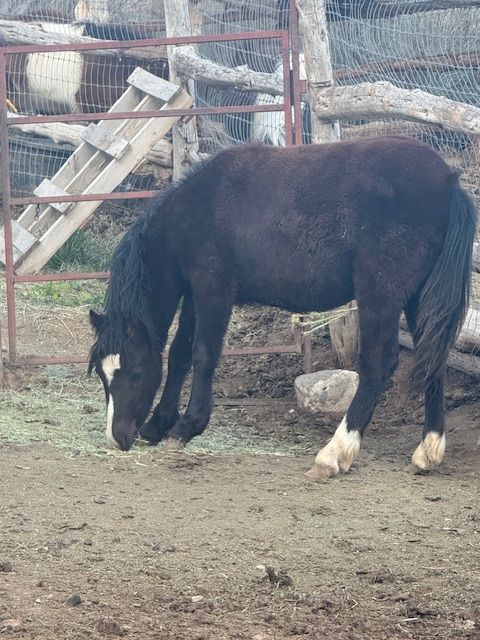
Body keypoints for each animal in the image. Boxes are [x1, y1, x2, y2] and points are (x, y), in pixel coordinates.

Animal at [89, 136, 476, 480]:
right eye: (103, 376)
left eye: (135, 373)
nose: (118, 437)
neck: (198, 207)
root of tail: (448, 181)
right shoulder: (195, 293)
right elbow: (180, 353)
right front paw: (160, 424)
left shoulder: (213, 288)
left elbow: (203, 353)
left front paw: (187, 425)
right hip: (418, 297)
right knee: (432, 357)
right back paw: (428, 450)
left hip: (380, 294)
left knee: (379, 365)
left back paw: (334, 454)